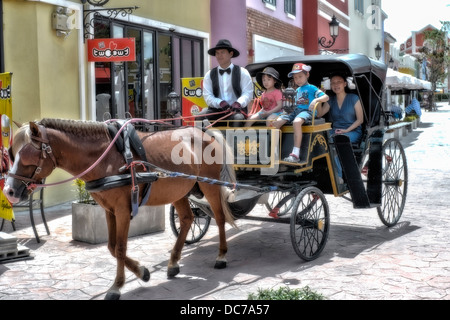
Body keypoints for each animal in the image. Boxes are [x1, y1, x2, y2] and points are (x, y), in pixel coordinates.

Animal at [2, 117, 236, 300]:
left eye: (28, 155)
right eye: (12, 154)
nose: (9, 191)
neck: (106, 158)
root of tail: (204, 132)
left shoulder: (123, 210)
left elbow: (121, 248)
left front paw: (117, 286)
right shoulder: (108, 209)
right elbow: (112, 247)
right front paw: (142, 272)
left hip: (210, 185)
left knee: (220, 218)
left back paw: (222, 256)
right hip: (178, 190)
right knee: (187, 219)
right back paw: (173, 263)